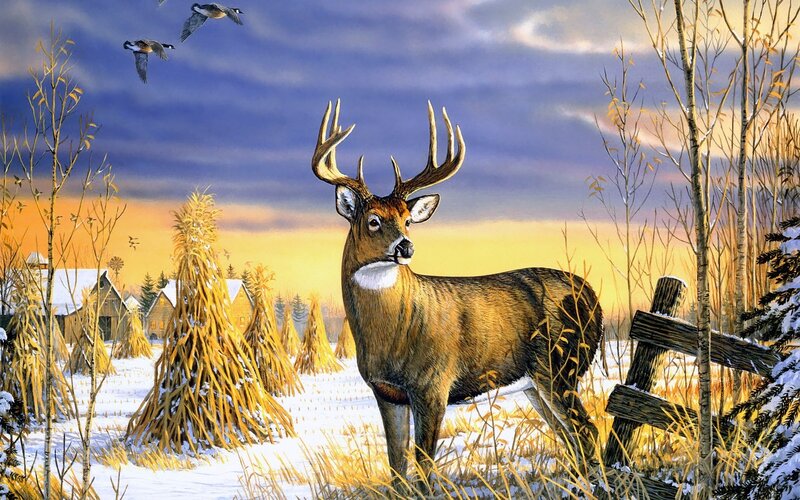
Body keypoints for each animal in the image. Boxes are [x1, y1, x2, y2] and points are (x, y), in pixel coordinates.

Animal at [311, 100, 603, 490]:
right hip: (536, 383)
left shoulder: (434, 384)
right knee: (567, 434)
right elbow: (397, 467)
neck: (393, 333)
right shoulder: (387, 393)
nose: (405, 246)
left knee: (585, 430)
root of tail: (592, 296)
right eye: (373, 220)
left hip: (560, 366)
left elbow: (423, 466)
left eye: (407, 220)